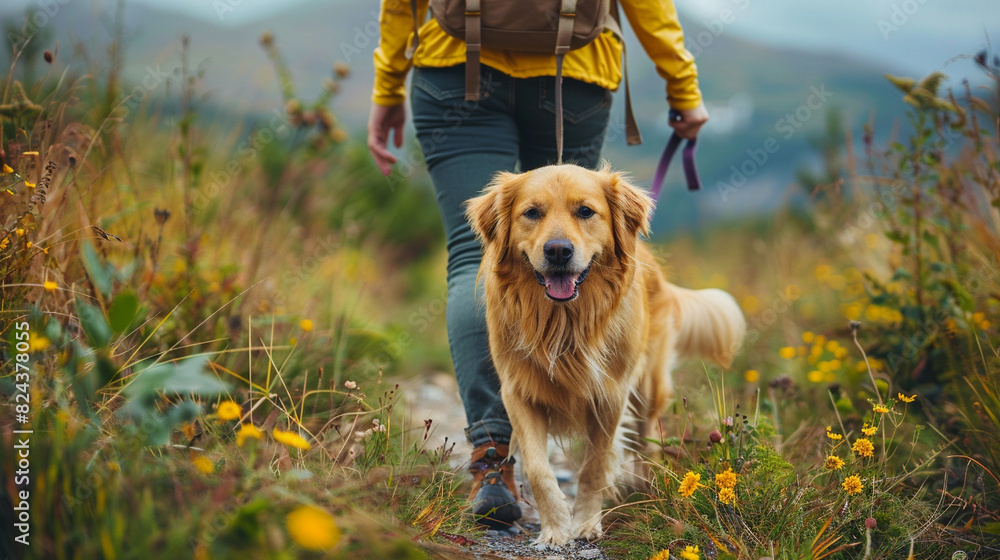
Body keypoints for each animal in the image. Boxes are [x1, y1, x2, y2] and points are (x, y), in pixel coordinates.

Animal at [464, 163, 748, 548]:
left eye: (585, 211)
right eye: (532, 213)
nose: (558, 251)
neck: (564, 324)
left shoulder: (610, 394)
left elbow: (595, 466)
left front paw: (585, 522)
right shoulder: (518, 392)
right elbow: (538, 469)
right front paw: (555, 528)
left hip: (646, 389)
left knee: (647, 442)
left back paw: (646, 491)